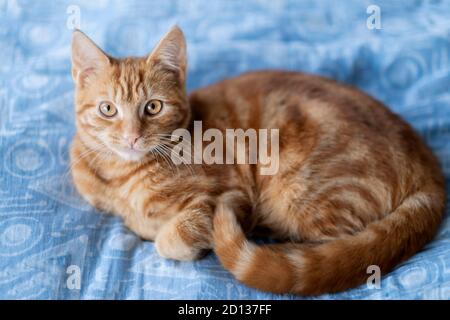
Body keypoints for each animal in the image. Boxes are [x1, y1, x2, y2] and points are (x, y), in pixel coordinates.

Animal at [70, 25, 446, 296]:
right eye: (108, 109)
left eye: (153, 107)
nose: (132, 136)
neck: (123, 175)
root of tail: (426, 162)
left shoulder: (226, 195)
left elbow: (170, 238)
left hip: (301, 192)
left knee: (330, 251)